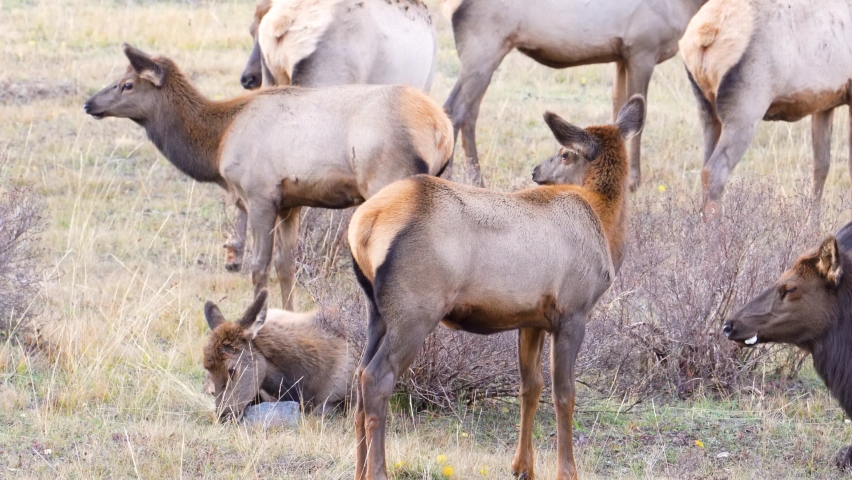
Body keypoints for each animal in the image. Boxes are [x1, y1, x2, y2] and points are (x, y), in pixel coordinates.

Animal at [83, 44, 453, 309]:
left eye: (127, 84)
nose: (89, 103)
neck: (218, 144)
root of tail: (442, 130)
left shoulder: (259, 194)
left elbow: (258, 267)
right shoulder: (291, 203)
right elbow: (285, 266)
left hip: (387, 181)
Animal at [347, 95, 645, 480]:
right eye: (566, 152)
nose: (536, 170)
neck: (605, 226)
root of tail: (363, 225)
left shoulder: (532, 319)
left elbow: (530, 388)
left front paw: (522, 467)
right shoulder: (573, 311)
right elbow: (564, 394)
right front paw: (566, 471)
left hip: (377, 311)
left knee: (358, 375)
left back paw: (358, 470)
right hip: (415, 309)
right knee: (376, 378)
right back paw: (378, 471)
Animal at [442, 0, 708, 187]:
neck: (687, 5)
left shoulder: (621, 56)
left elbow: (618, 110)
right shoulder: (642, 49)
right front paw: (633, 182)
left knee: (470, 113)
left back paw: (477, 181)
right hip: (483, 47)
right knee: (454, 109)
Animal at [680, 0, 852, 216]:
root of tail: (706, 34)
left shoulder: (824, 104)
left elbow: (820, 166)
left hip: (706, 110)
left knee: (704, 165)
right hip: (746, 110)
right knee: (715, 172)